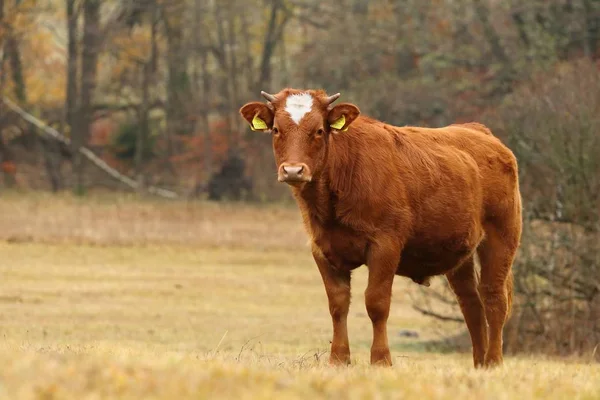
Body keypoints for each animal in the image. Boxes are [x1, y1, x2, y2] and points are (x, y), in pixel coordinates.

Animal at [241, 88, 524, 368]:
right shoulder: (322, 249)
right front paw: (339, 358)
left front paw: (380, 359)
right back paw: (479, 365)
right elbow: (338, 304)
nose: (293, 170)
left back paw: (494, 361)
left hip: (501, 238)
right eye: (276, 129)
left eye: (319, 130)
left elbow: (376, 303)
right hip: (459, 253)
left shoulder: (385, 246)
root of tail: (478, 131)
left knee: (493, 298)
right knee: (471, 304)